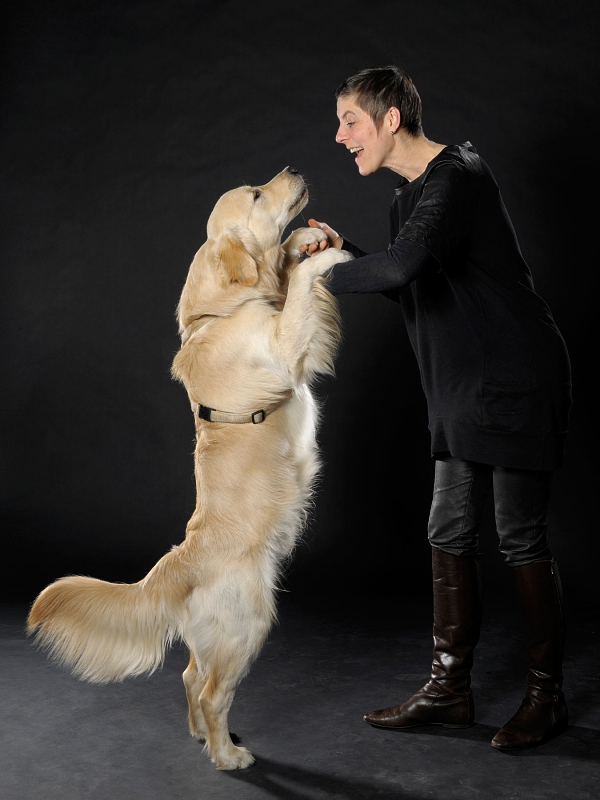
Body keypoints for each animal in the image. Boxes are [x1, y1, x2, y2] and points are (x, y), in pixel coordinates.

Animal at [28, 167, 354, 768]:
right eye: (256, 195)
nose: (293, 171)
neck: (224, 313)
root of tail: (180, 562)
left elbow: (288, 274)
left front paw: (302, 243)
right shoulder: (281, 345)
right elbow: (298, 292)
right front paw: (322, 257)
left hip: (215, 637)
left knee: (188, 677)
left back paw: (205, 738)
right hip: (250, 623)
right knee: (209, 692)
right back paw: (227, 756)